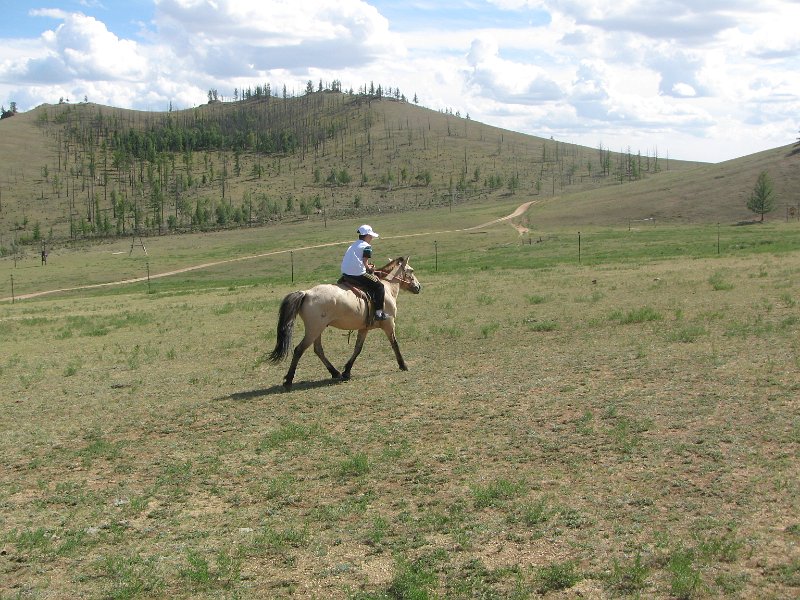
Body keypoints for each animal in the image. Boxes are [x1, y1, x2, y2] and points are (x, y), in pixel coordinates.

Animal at [268, 256, 422, 390]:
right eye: (411, 270)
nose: (418, 287)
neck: (387, 288)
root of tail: (306, 293)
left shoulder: (364, 328)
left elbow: (357, 349)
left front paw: (347, 371)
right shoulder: (389, 324)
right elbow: (395, 344)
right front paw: (403, 365)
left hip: (317, 330)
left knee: (318, 350)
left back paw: (334, 372)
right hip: (314, 330)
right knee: (299, 350)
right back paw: (289, 380)